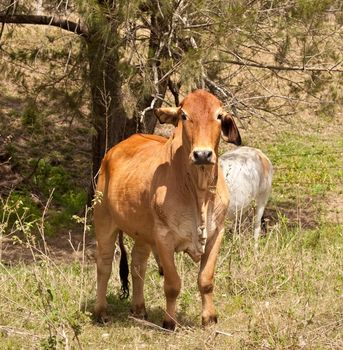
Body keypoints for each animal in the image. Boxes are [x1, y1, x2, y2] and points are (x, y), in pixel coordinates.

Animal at [94, 89, 242, 330]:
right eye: (184, 115)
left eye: (219, 116)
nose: (203, 155)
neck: (198, 191)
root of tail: (113, 151)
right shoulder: (164, 237)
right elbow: (172, 284)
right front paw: (169, 321)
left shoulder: (216, 233)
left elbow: (206, 280)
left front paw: (209, 318)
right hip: (104, 221)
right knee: (104, 265)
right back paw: (101, 312)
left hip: (143, 234)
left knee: (137, 264)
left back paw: (139, 308)